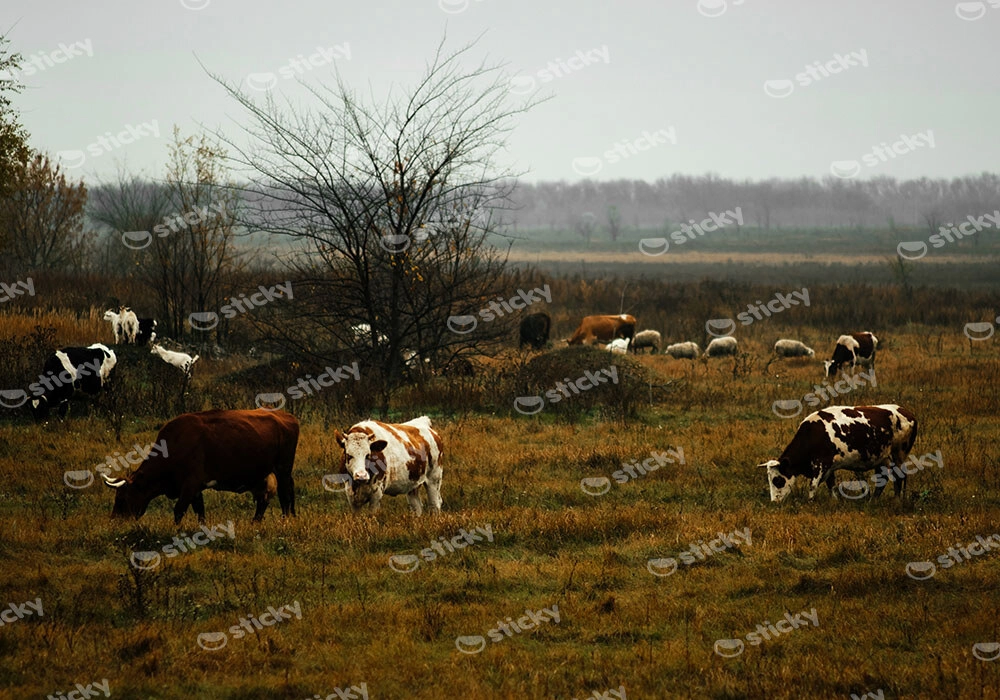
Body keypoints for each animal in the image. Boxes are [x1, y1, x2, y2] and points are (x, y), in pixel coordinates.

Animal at [102, 409, 299, 524]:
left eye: (122, 498)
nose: (113, 521)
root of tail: (287, 416)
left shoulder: (190, 483)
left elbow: (179, 510)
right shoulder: (195, 489)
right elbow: (200, 512)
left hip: (282, 469)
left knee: (285, 496)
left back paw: (285, 521)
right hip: (262, 475)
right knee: (263, 500)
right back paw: (255, 523)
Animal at [760, 404, 917, 503]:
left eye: (777, 480)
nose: (774, 501)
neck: (813, 433)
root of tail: (908, 413)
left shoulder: (821, 464)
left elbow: (813, 486)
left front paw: (810, 502)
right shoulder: (830, 467)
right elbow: (832, 485)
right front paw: (835, 501)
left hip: (899, 455)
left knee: (899, 477)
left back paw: (897, 500)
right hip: (882, 458)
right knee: (882, 479)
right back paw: (873, 500)